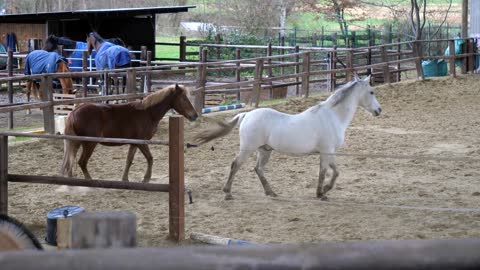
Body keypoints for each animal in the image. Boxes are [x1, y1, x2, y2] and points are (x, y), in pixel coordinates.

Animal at [61, 84, 198, 181]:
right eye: (184, 98)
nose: (195, 115)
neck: (148, 113)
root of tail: (75, 111)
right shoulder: (142, 142)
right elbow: (150, 158)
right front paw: (146, 178)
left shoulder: (134, 143)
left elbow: (129, 160)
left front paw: (125, 179)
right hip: (89, 144)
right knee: (82, 162)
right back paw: (89, 181)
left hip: (77, 143)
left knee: (70, 164)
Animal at [195, 74, 382, 200]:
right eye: (371, 92)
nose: (379, 110)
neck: (333, 116)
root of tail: (247, 114)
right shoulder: (326, 151)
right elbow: (325, 172)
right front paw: (321, 193)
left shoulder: (330, 152)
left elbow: (335, 172)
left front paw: (324, 191)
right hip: (248, 148)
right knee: (235, 165)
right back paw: (228, 193)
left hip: (265, 150)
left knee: (258, 169)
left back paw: (271, 192)